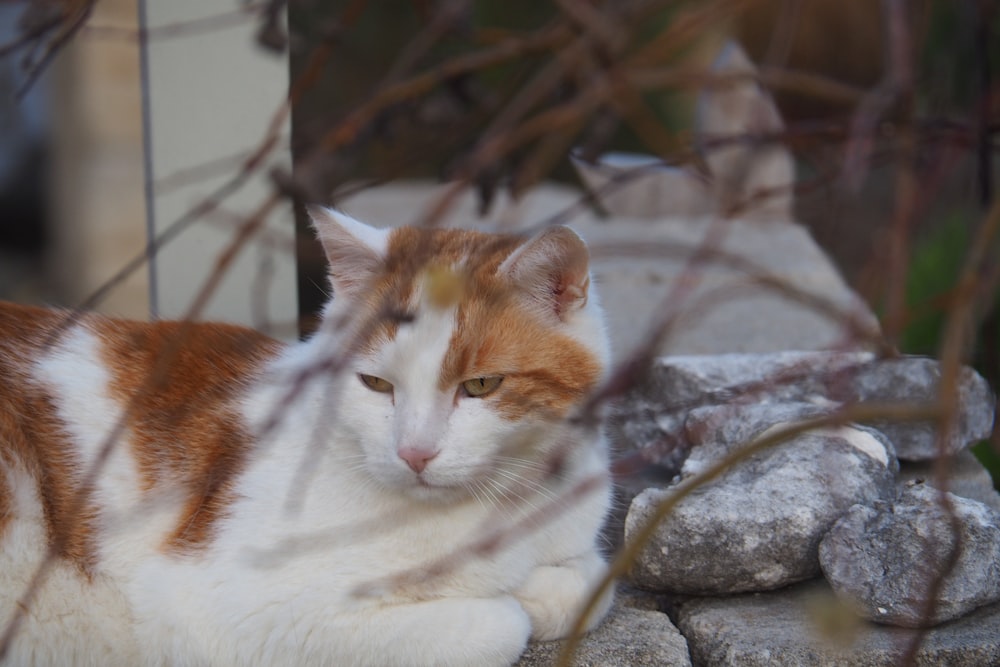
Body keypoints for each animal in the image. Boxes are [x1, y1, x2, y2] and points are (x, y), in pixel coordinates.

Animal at [0, 206, 612, 664]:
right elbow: (501, 623)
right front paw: (508, 597)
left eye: (481, 385)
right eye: (375, 383)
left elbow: (592, 579)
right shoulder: (221, 610)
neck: (504, 509)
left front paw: (534, 585)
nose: (413, 452)